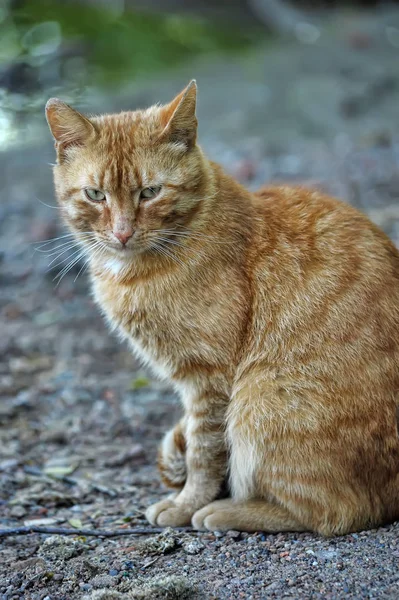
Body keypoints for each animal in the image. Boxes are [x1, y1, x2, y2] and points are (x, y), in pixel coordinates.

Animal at [45, 81, 399, 536]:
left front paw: (187, 504)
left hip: (259, 400)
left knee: (337, 511)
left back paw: (226, 510)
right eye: (95, 194)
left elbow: (204, 452)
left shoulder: (209, 380)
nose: (122, 233)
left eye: (150, 192)